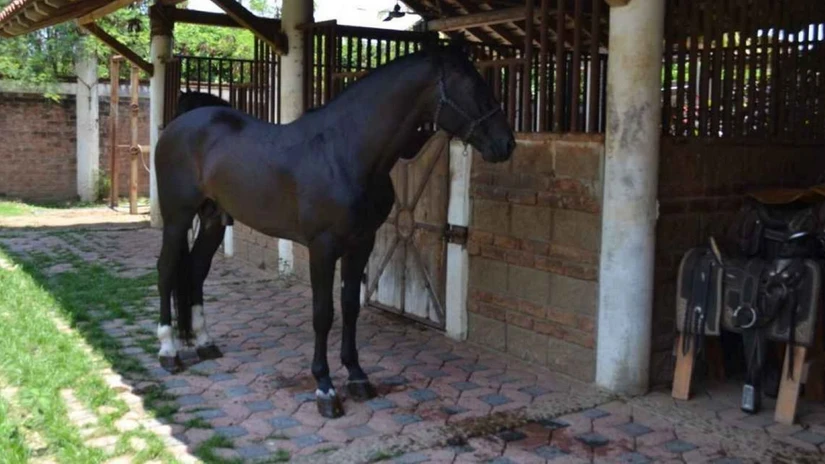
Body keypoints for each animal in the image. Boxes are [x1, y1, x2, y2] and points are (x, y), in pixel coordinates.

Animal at [153, 42, 516, 418]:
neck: (345, 152)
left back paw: (204, 342)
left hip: (212, 220)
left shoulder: (362, 243)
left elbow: (350, 307)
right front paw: (325, 387)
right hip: (178, 218)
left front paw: (356, 376)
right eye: (471, 85)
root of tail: (177, 127)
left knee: (196, 270)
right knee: (166, 270)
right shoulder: (323, 247)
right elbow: (323, 313)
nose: (507, 143)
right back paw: (169, 351)